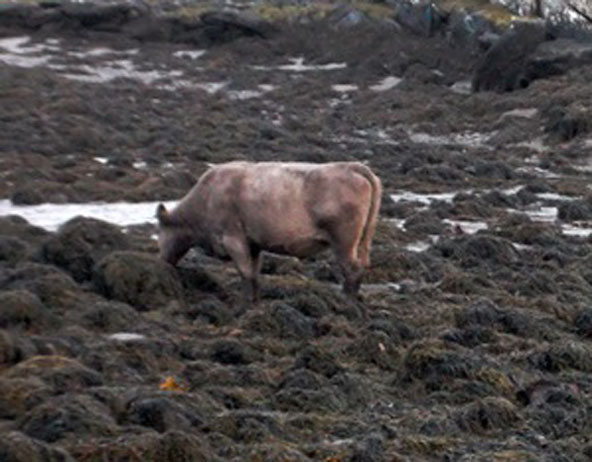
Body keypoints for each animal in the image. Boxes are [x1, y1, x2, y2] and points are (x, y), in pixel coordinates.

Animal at [155, 162, 382, 304]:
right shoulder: (253, 244)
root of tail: (350, 166)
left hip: (344, 240)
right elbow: (254, 273)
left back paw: (346, 302)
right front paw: (255, 301)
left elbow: (245, 272)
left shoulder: (232, 239)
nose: (162, 261)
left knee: (352, 269)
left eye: (160, 232)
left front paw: (244, 304)